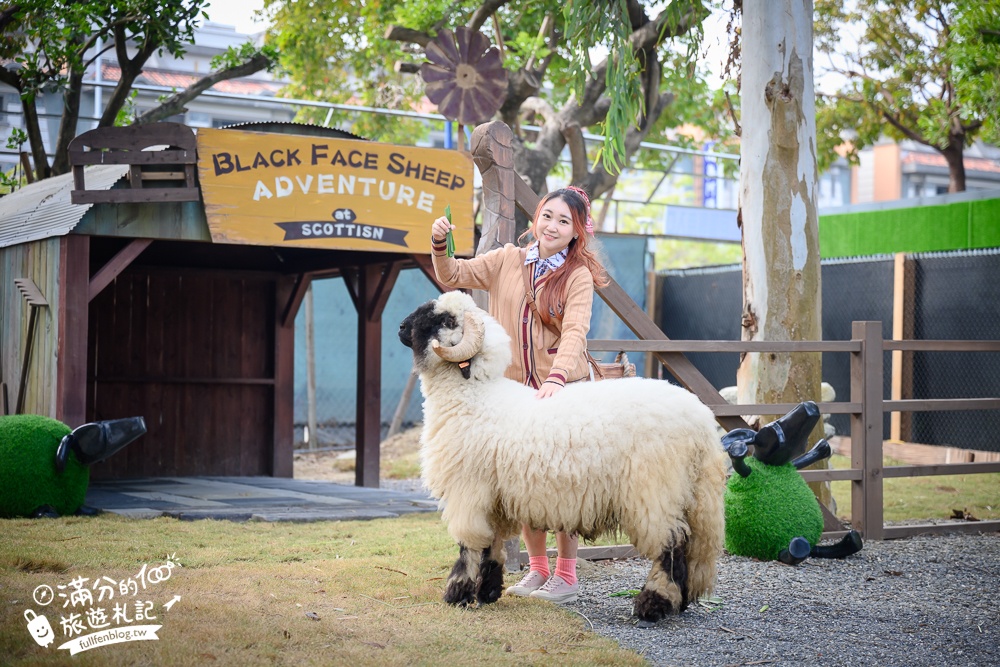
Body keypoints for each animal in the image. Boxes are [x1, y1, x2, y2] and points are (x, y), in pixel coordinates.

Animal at [396, 292, 728, 628]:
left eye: (446, 320)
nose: (400, 327)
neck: (474, 396)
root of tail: (701, 420)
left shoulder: (468, 489)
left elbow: (469, 545)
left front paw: (457, 594)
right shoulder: (495, 497)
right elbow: (492, 545)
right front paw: (487, 592)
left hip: (655, 489)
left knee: (670, 545)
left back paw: (653, 605)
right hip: (689, 493)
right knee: (689, 544)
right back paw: (680, 602)